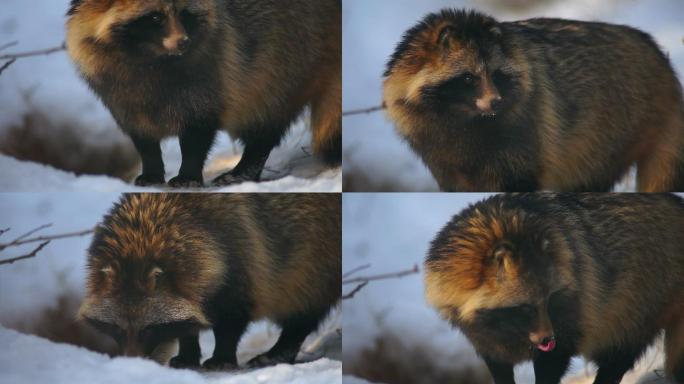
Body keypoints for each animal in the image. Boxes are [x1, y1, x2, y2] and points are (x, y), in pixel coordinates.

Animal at [65, 1, 342, 188]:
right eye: (155, 17)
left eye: (183, 12)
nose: (184, 42)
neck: (152, 60)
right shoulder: (117, 90)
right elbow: (141, 133)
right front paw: (152, 167)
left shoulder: (211, 68)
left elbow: (198, 126)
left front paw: (188, 172)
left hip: (290, 56)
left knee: (267, 116)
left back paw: (247, 165)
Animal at [79, 194, 342, 370]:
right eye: (118, 329)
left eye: (147, 329)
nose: (132, 364)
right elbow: (188, 322)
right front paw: (188, 351)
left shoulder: (242, 252)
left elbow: (232, 316)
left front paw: (222, 356)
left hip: (318, 257)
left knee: (305, 309)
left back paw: (282, 348)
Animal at [384, 9, 684, 192]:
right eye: (469, 78)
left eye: (496, 74)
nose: (496, 102)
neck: (464, 119)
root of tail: (658, 55)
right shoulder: (439, 154)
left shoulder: (525, 131)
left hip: (610, 135)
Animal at [424, 195, 684, 384]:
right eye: (526, 307)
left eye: (549, 299)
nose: (549, 338)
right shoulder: (486, 341)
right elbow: (500, 368)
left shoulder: (574, 312)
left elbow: (554, 361)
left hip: (635, 309)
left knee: (617, 359)